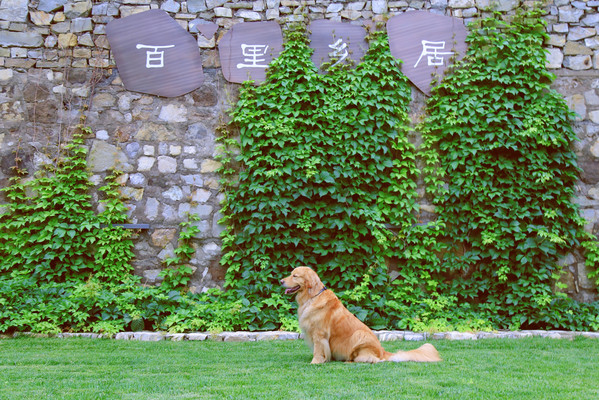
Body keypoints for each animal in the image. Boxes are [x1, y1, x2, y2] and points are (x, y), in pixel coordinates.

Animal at [280, 268, 440, 364]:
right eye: (291, 273)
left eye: (295, 275)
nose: (280, 281)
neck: (312, 296)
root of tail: (382, 351)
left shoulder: (319, 334)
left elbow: (318, 350)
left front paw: (315, 362)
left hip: (359, 334)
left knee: (374, 360)